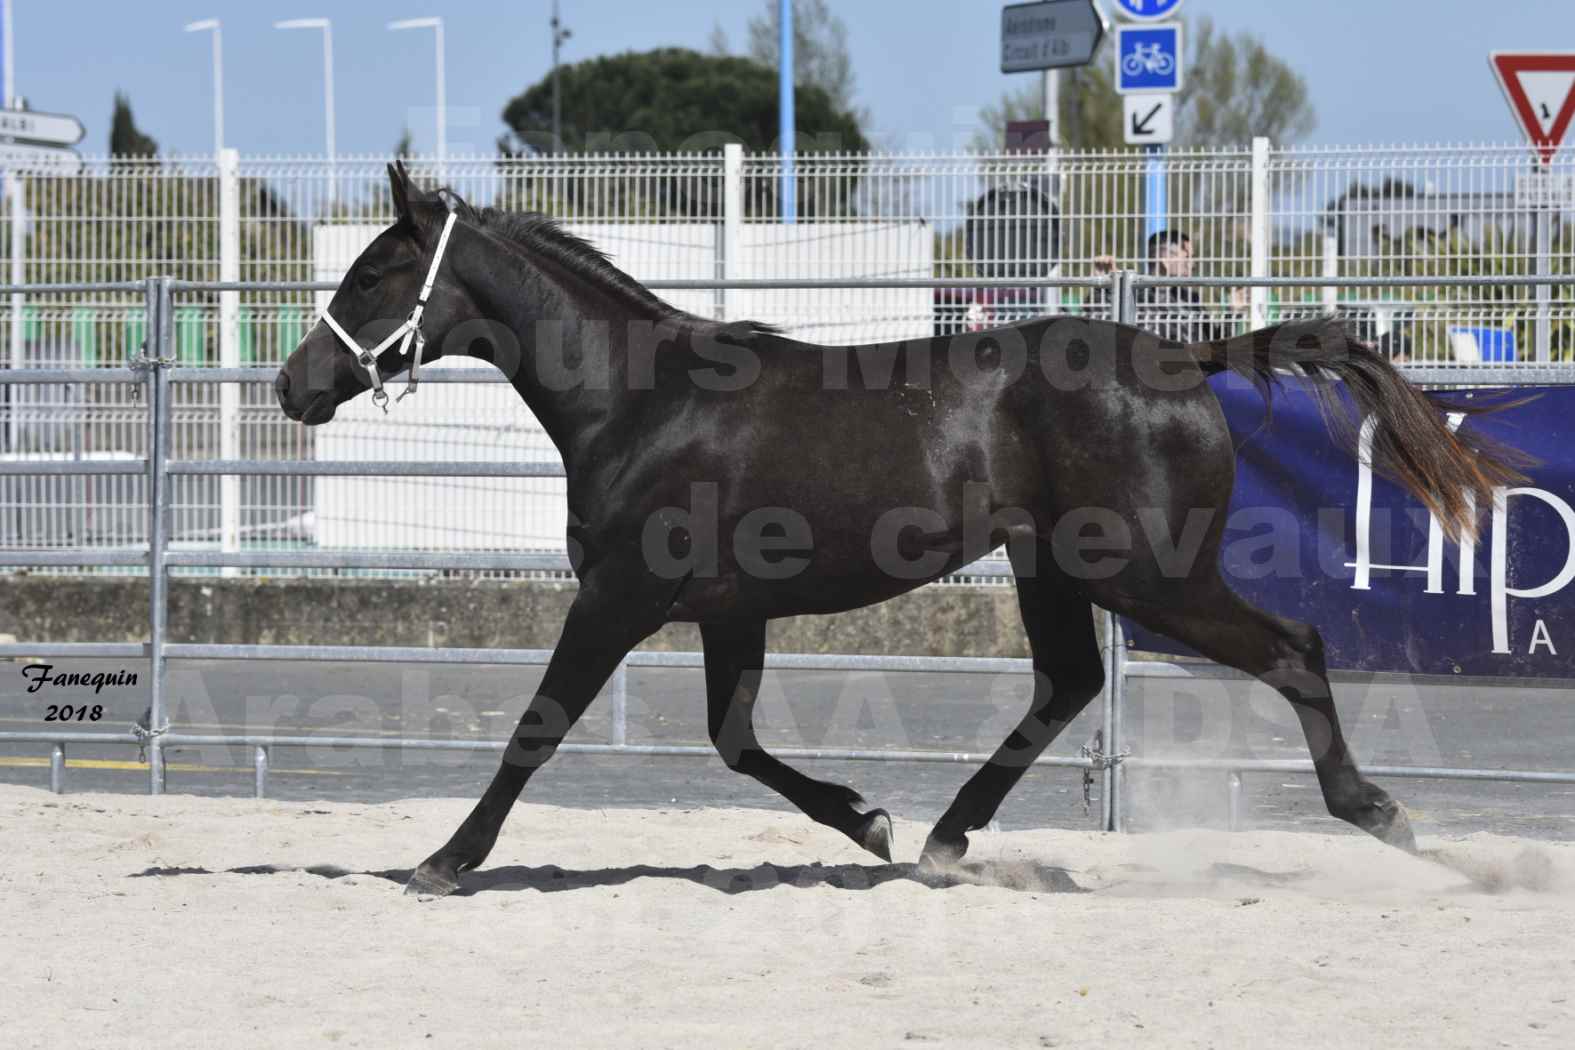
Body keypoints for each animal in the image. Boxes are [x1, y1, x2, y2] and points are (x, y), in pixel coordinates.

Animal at [277, 164, 1518, 894]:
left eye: (377, 272)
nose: (294, 388)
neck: (641, 399)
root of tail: (1189, 356)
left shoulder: (620, 598)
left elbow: (539, 726)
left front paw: (444, 860)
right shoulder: (729, 612)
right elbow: (735, 743)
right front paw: (868, 818)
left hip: (1151, 576)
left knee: (1293, 651)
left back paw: (1384, 818)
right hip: (1053, 568)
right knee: (1069, 683)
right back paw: (942, 841)